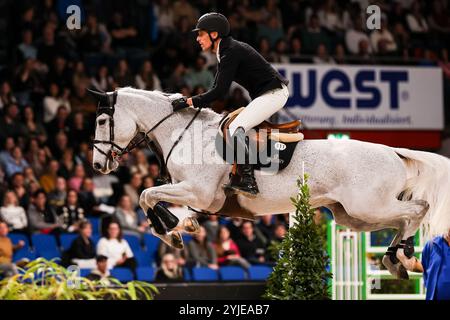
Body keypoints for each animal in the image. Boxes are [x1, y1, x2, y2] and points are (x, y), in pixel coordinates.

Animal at [90, 87, 450, 278]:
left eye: (102, 120)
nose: (97, 164)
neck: (184, 132)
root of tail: (393, 150)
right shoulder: (192, 194)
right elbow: (156, 200)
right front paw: (179, 229)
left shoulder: (200, 192)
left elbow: (146, 195)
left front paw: (170, 231)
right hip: (353, 216)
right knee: (403, 218)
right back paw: (397, 259)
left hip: (369, 206)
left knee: (417, 209)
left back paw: (404, 257)